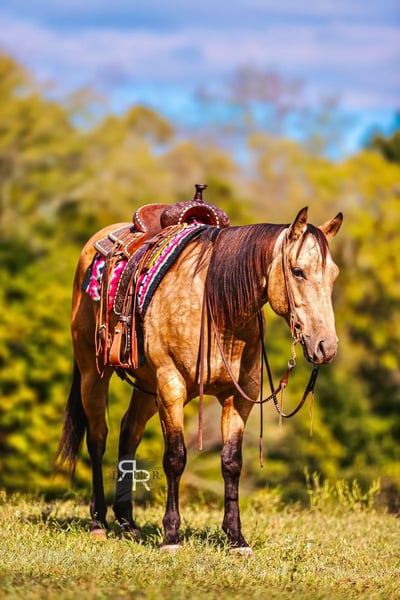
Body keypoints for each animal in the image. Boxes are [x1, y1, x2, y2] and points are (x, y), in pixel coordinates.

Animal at [57, 205, 343, 553]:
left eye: (333, 274)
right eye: (298, 271)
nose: (326, 346)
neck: (217, 308)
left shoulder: (239, 397)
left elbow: (231, 462)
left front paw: (236, 538)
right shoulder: (171, 387)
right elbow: (175, 457)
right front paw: (171, 536)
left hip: (147, 388)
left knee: (128, 432)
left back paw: (127, 522)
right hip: (93, 373)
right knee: (98, 438)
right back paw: (99, 521)